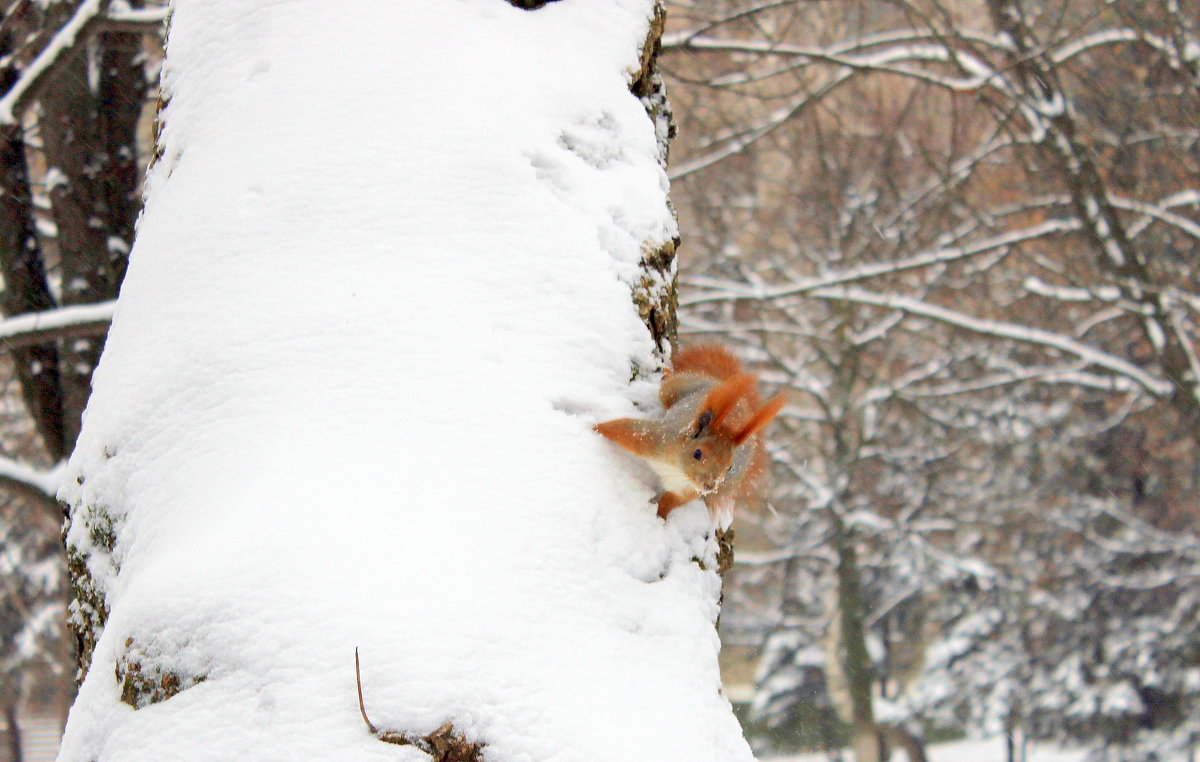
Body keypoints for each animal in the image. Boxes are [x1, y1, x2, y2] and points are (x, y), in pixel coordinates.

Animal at [592, 345, 787, 525]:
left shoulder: (687, 491)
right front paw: (591, 427)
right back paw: (667, 372)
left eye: (730, 467)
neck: (678, 471)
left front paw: (660, 517)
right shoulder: (656, 439)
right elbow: (623, 429)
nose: (709, 486)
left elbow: (670, 502)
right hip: (676, 389)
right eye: (697, 453)